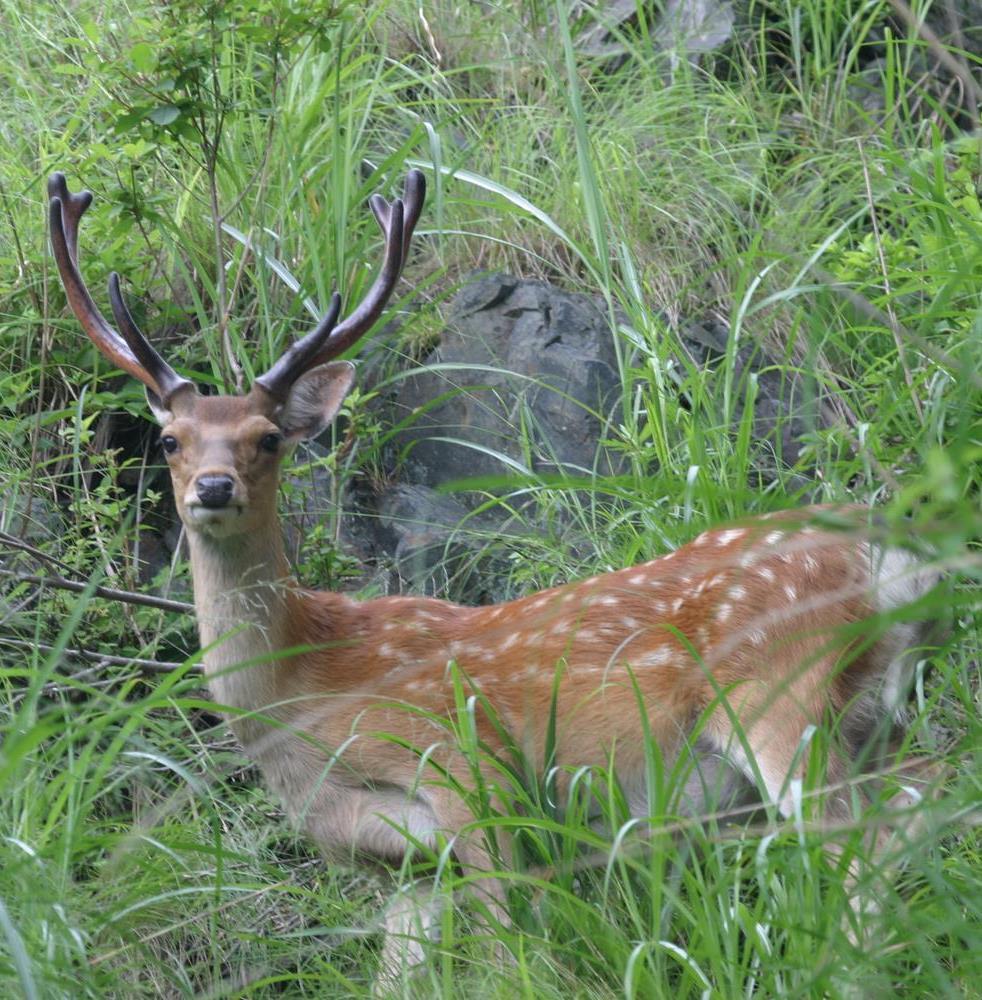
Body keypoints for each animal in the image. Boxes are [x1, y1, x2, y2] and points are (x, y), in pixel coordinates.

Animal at [50, 170, 948, 984]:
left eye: (268, 438)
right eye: (171, 440)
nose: (212, 488)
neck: (302, 696)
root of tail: (892, 558)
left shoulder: (471, 770)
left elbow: (507, 951)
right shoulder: (405, 864)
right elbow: (401, 976)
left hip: (779, 695)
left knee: (872, 836)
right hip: (874, 716)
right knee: (916, 803)